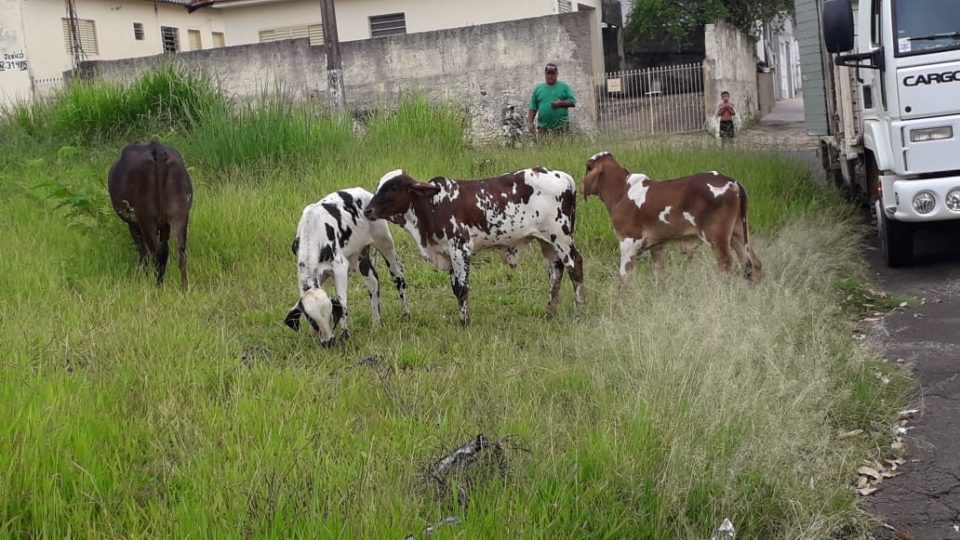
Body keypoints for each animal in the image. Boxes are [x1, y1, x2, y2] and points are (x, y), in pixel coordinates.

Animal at [108, 141, 192, 288]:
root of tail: (157, 148)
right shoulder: (165, 225)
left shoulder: (133, 224)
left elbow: (143, 252)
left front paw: (144, 277)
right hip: (180, 215)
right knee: (180, 252)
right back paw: (184, 288)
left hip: (147, 219)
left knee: (156, 254)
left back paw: (158, 286)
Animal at [282, 188, 408, 344]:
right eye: (312, 321)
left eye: (331, 316)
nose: (328, 342)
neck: (312, 229)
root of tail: (366, 192)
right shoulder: (319, 274)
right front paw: (312, 335)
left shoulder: (340, 267)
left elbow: (342, 302)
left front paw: (345, 336)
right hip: (363, 255)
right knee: (373, 282)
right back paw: (377, 324)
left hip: (384, 242)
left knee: (398, 274)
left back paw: (406, 314)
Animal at [362, 167, 580, 324]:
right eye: (379, 186)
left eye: (393, 188)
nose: (368, 210)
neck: (434, 205)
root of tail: (564, 176)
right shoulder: (448, 254)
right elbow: (455, 288)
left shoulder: (460, 249)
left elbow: (462, 287)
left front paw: (464, 321)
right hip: (547, 242)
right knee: (555, 272)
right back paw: (550, 312)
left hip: (561, 238)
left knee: (574, 266)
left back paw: (579, 309)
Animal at [580, 150, 760, 280]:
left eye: (588, 167)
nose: (580, 187)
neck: (622, 192)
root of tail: (733, 182)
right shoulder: (658, 245)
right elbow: (659, 276)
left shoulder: (628, 242)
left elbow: (624, 278)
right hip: (738, 233)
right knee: (754, 264)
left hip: (717, 238)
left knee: (728, 268)